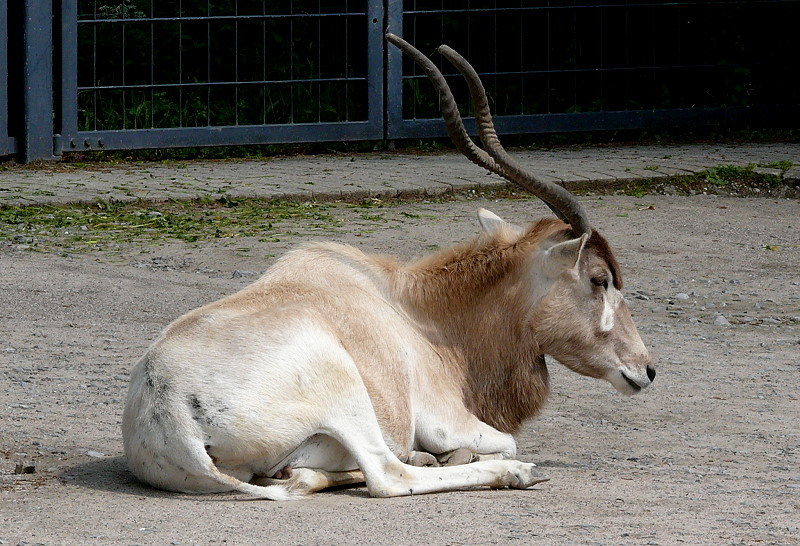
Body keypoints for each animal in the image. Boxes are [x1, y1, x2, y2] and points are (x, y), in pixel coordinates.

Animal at [122, 34, 652, 500]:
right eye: (600, 279)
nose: (646, 369)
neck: (420, 312)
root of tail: (170, 416)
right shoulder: (447, 421)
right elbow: (501, 441)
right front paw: (477, 459)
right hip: (343, 387)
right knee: (387, 474)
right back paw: (513, 473)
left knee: (306, 476)